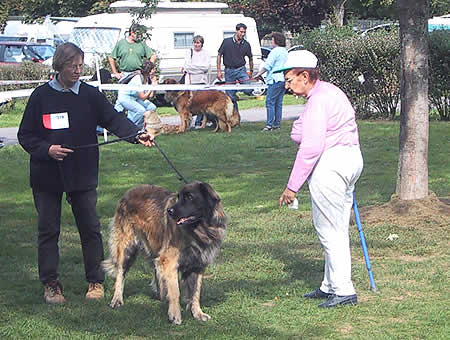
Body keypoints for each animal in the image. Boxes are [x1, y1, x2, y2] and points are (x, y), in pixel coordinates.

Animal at [103, 182, 227, 326]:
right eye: (179, 197)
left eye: (189, 197)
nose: (170, 211)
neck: (200, 229)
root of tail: (128, 192)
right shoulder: (170, 261)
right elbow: (175, 291)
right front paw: (175, 315)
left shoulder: (198, 264)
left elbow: (196, 292)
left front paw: (197, 313)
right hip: (127, 247)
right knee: (120, 273)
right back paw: (117, 299)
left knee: (156, 269)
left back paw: (161, 294)